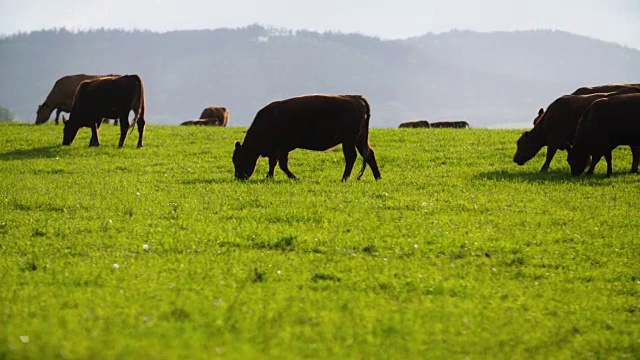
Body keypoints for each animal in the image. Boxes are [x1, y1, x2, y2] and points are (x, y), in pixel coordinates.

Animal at [232, 94, 380, 181]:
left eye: (238, 160)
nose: (238, 177)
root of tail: (357, 98)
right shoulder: (276, 150)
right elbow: (273, 163)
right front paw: (269, 177)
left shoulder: (282, 148)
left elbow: (282, 164)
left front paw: (295, 178)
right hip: (360, 139)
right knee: (369, 154)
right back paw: (378, 177)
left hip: (349, 141)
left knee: (351, 157)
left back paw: (344, 178)